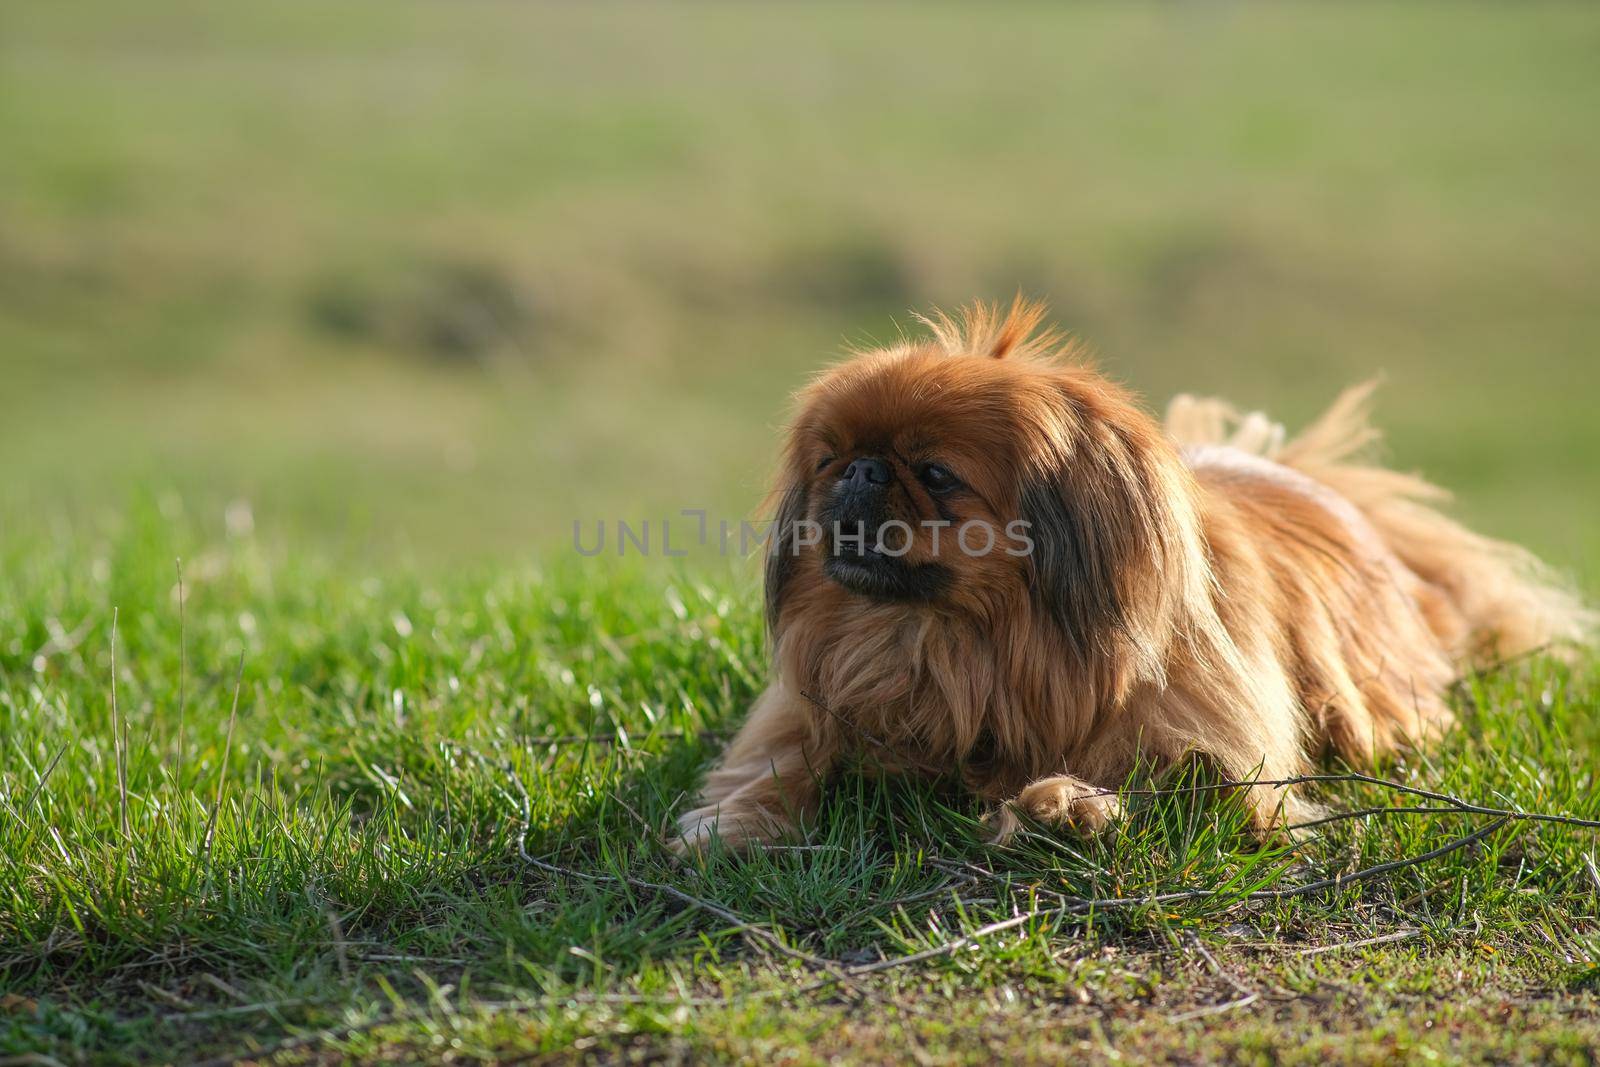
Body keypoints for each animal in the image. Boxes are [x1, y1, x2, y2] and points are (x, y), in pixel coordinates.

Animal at [672, 300, 1587, 851]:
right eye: (830, 459)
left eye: (934, 473)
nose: (860, 471)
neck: (961, 646)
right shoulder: (805, 708)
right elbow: (777, 760)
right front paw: (732, 821)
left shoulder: (1213, 750)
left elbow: (1170, 777)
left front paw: (1064, 803)